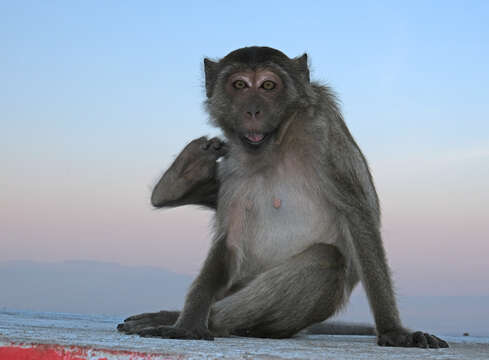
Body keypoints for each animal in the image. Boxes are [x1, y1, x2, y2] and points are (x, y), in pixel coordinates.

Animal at [117, 46, 446, 348]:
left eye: (268, 85)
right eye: (239, 85)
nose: (252, 110)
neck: (277, 144)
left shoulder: (323, 133)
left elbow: (358, 217)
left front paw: (393, 330)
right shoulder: (234, 162)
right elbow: (230, 240)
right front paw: (188, 323)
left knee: (326, 260)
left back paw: (215, 321)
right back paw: (181, 177)